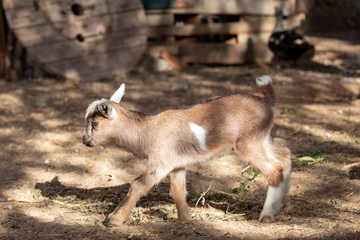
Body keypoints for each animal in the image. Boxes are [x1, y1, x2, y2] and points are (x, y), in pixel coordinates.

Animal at [83, 76, 292, 226]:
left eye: (95, 123)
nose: (85, 140)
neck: (145, 129)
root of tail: (268, 102)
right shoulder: (176, 164)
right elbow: (177, 191)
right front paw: (185, 219)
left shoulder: (161, 163)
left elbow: (137, 184)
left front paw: (114, 220)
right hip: (261, 140)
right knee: (285, 155)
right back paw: (280, 204)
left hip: (249, 143)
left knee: (274, 171)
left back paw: (267, 215)